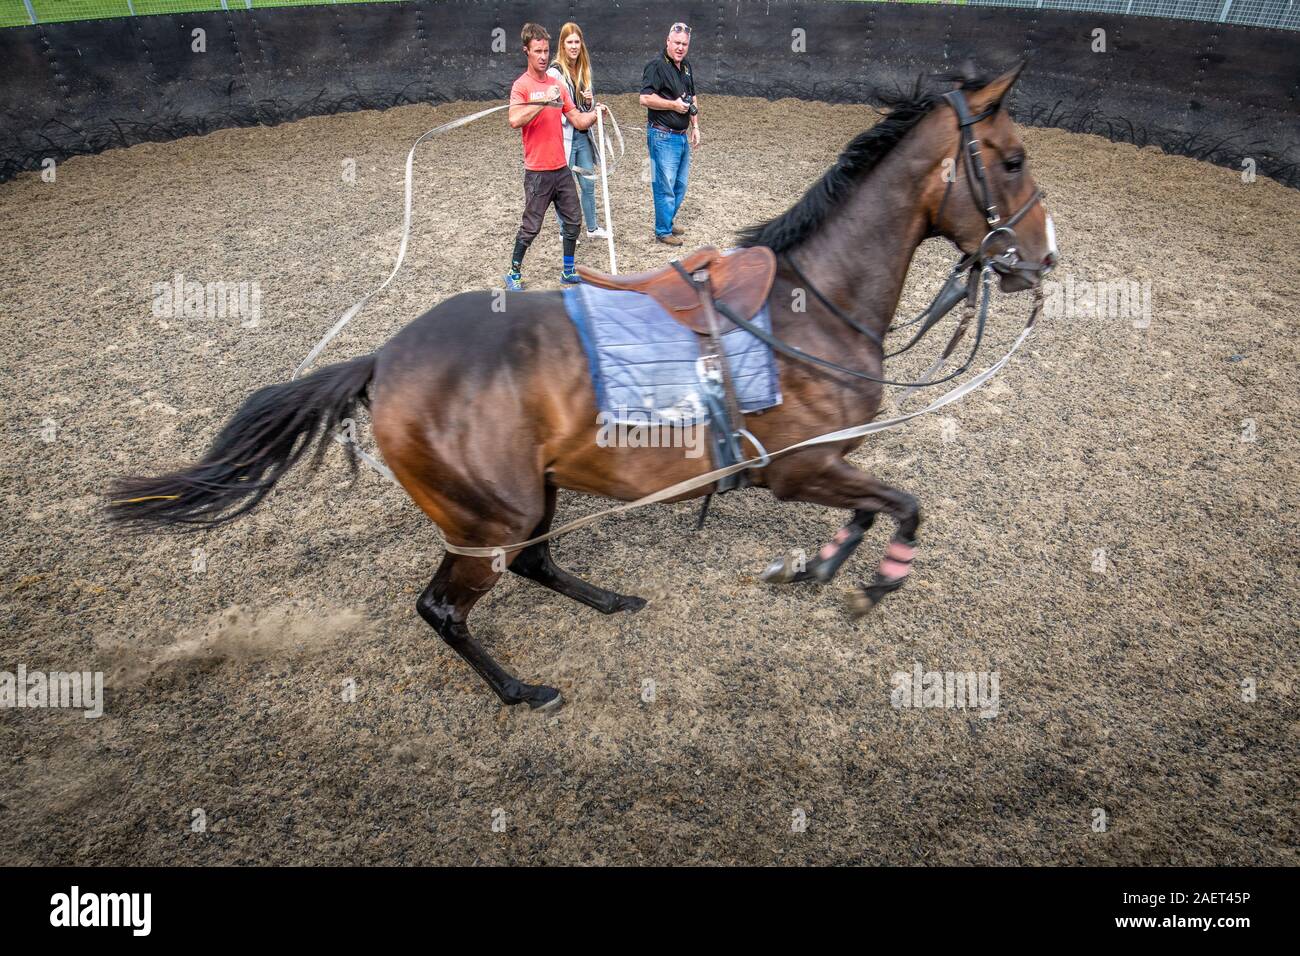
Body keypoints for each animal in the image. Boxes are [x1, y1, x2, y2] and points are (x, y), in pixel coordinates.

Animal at [108, 66, 1057, 712]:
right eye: (1011, 160)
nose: (1042, 262)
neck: (810, 305)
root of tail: (382, 359)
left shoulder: (820, 468)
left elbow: (869, 511)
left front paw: (817, 566)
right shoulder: (799, 467)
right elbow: (902, 507)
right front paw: (873, 579)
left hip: (537, 490)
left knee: (535, 562)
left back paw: (604, 597)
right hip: (490, 516)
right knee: (442, 605)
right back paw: (521, 690)